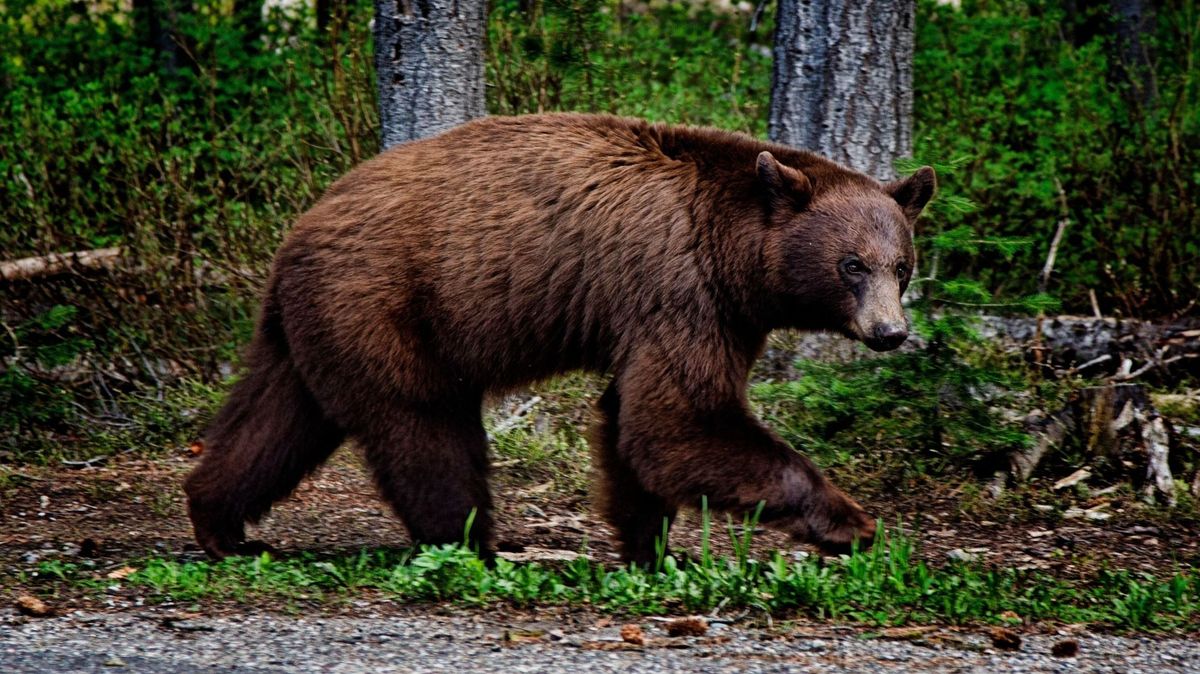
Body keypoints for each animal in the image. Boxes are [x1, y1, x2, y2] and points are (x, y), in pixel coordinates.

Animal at [184, 112, 936, 563]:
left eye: (901, 265)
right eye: (852, 265)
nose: (890, 332)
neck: (731, 246)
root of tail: (296, 233)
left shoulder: (721, 312)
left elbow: (635, 425)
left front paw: (651, 548)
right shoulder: (677, 289)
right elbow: (679, 420)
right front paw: (851, 522)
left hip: (310, 327)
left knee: (278, 419)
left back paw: (220, 524)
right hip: (384, 305)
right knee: (424, 426)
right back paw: (473, 544)